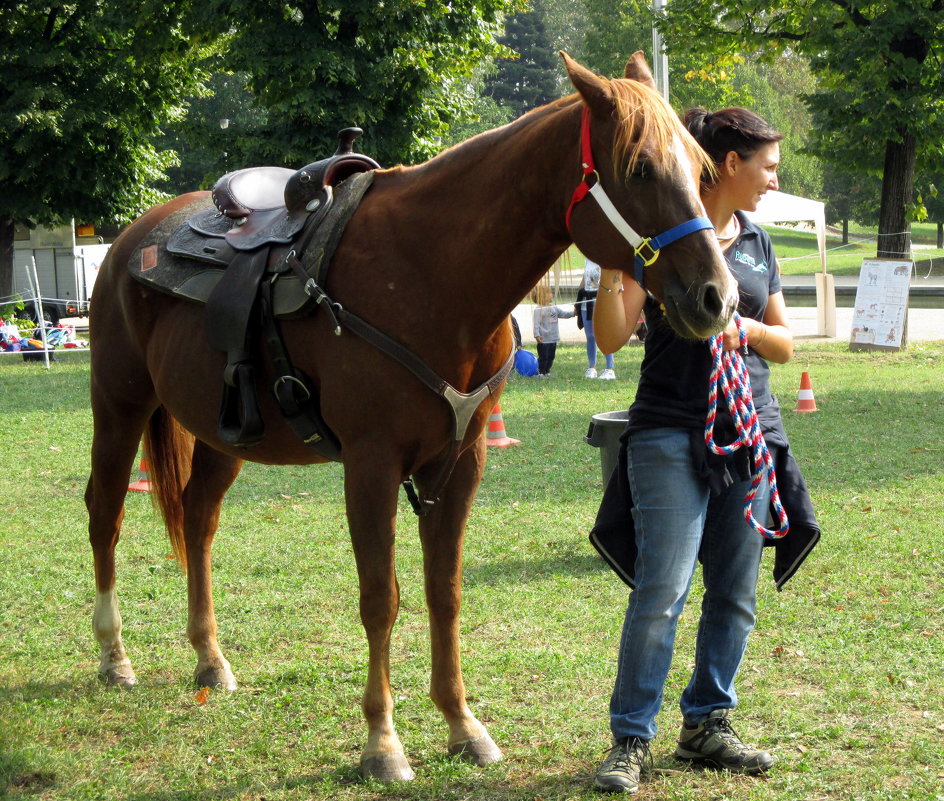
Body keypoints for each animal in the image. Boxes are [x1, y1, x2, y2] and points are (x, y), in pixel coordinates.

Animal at [86, 53, 736, 780]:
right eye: (641, 168)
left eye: (701, 169)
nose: (717, 296)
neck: (431, 274)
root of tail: (132, 241)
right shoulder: (371, 465)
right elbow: (381, 598)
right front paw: (382, 740)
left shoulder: (458, 463)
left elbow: (443, 592)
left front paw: (462, 723)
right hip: (118, 404)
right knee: (105, 513)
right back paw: (114, 655)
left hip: (221, 432)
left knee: (198, 522)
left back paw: (210, 657)